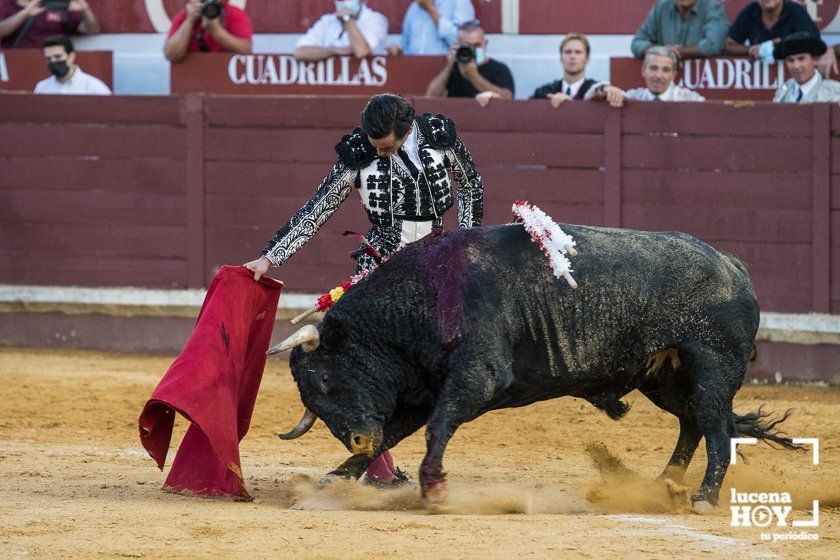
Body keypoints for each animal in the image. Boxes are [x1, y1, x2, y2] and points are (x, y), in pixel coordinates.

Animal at [272, 223, 796, 512]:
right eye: (311, 400)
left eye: (325, 380)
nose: (358, 438)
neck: (424, 299)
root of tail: (731, 265)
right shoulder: (423, 392)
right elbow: (400, 432)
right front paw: (334, 479)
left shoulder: (476, 376)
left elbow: (436, 427)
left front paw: (435, 489)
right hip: (664, 376)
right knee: (693, 423)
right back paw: (662, 484)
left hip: (711, 367)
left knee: (716, 428)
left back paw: (703, 497)